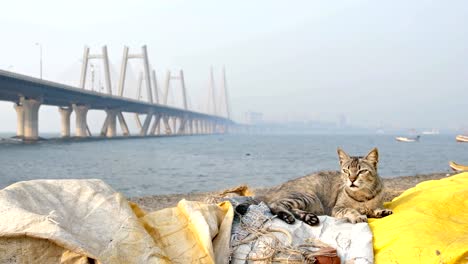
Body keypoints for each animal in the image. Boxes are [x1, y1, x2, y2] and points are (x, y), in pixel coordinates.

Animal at [258, 147, 394, 226]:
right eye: (346, 171)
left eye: (361, 171)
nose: (352, 179)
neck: (363, 196)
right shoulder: (337, 208)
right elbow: (351, 210)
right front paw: (358, 216)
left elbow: (375, 208)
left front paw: (380, 211)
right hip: (308, 197)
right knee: (275, 205)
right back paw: (287, 216)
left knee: (292, 209)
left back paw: (308, 217)